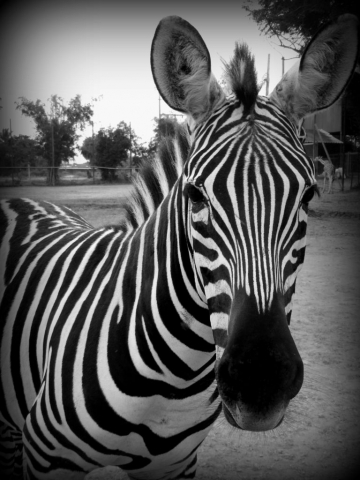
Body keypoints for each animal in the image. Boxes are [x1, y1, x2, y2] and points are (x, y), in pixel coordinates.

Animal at [0, 13, 358, 480]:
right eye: (194, 195)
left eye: (309, 196)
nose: (261, 383)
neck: (172, 379)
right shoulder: (47, 457)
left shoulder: (175, 465)